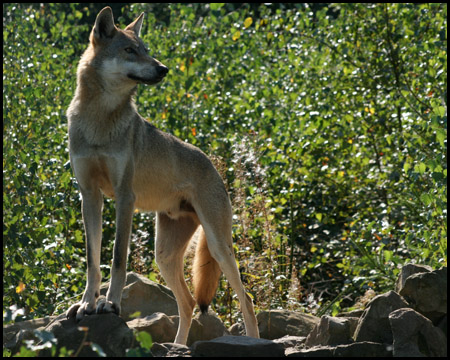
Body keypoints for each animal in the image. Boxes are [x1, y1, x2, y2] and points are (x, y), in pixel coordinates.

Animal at [65, 5, 258, 344]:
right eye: (130, 51)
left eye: (146, 50)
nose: (164, 68)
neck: (99, 120)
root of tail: (213, 166)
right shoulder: (90, 197)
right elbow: (92, 261)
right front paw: (87, 303)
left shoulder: (125, 198)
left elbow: (117, 258)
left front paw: (110, 305)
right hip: (164, 256)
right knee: (189, 302)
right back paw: (178, 345)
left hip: (218, 248)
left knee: (245, 299)